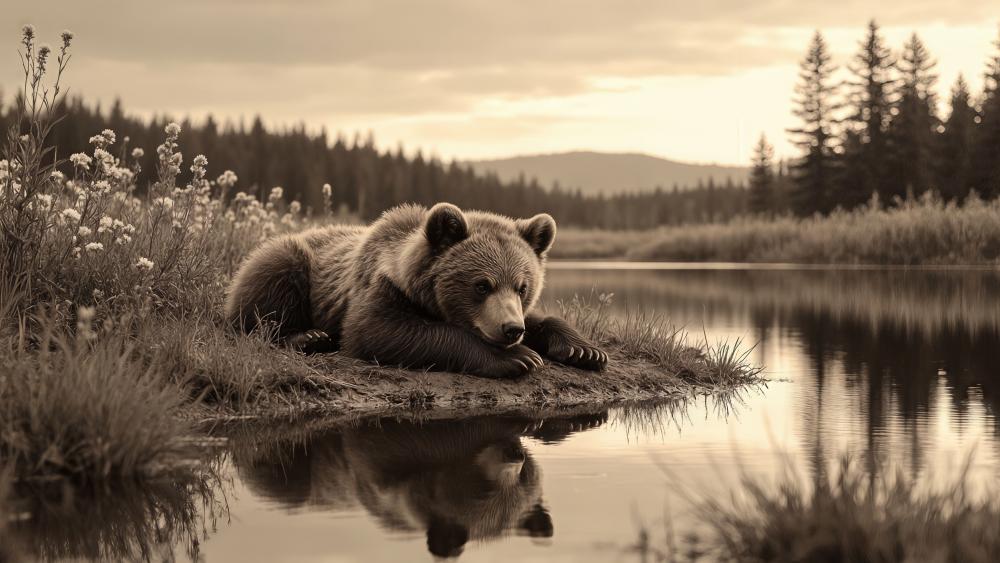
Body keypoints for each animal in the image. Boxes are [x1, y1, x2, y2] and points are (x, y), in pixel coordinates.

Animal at [224, 202, 607, 378]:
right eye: (482, 284)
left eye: (522, 286)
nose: (512, 329)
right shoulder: (377, 287)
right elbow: (377, 331)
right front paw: (520, 358)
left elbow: (545, 319)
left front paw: (584, 350)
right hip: (285, 261)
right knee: (265, 295)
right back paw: (308, 337)